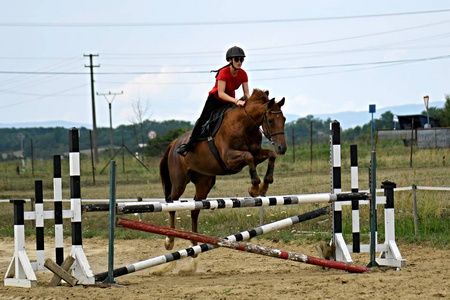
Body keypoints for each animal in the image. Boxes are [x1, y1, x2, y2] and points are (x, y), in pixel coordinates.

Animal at [160, 89, 286, 251]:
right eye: (270, 120)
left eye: (283, 119)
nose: (282, 148)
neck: (244, 124)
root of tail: (174, 143)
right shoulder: (229, 159)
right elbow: (249, 157)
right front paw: (254, 187)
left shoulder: (257, 153)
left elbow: (269, 154)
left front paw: (264, 186)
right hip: (179, 182)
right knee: (171, 202)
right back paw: (170, 239)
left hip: (204, 183)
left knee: (195, 208)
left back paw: (194, 243)